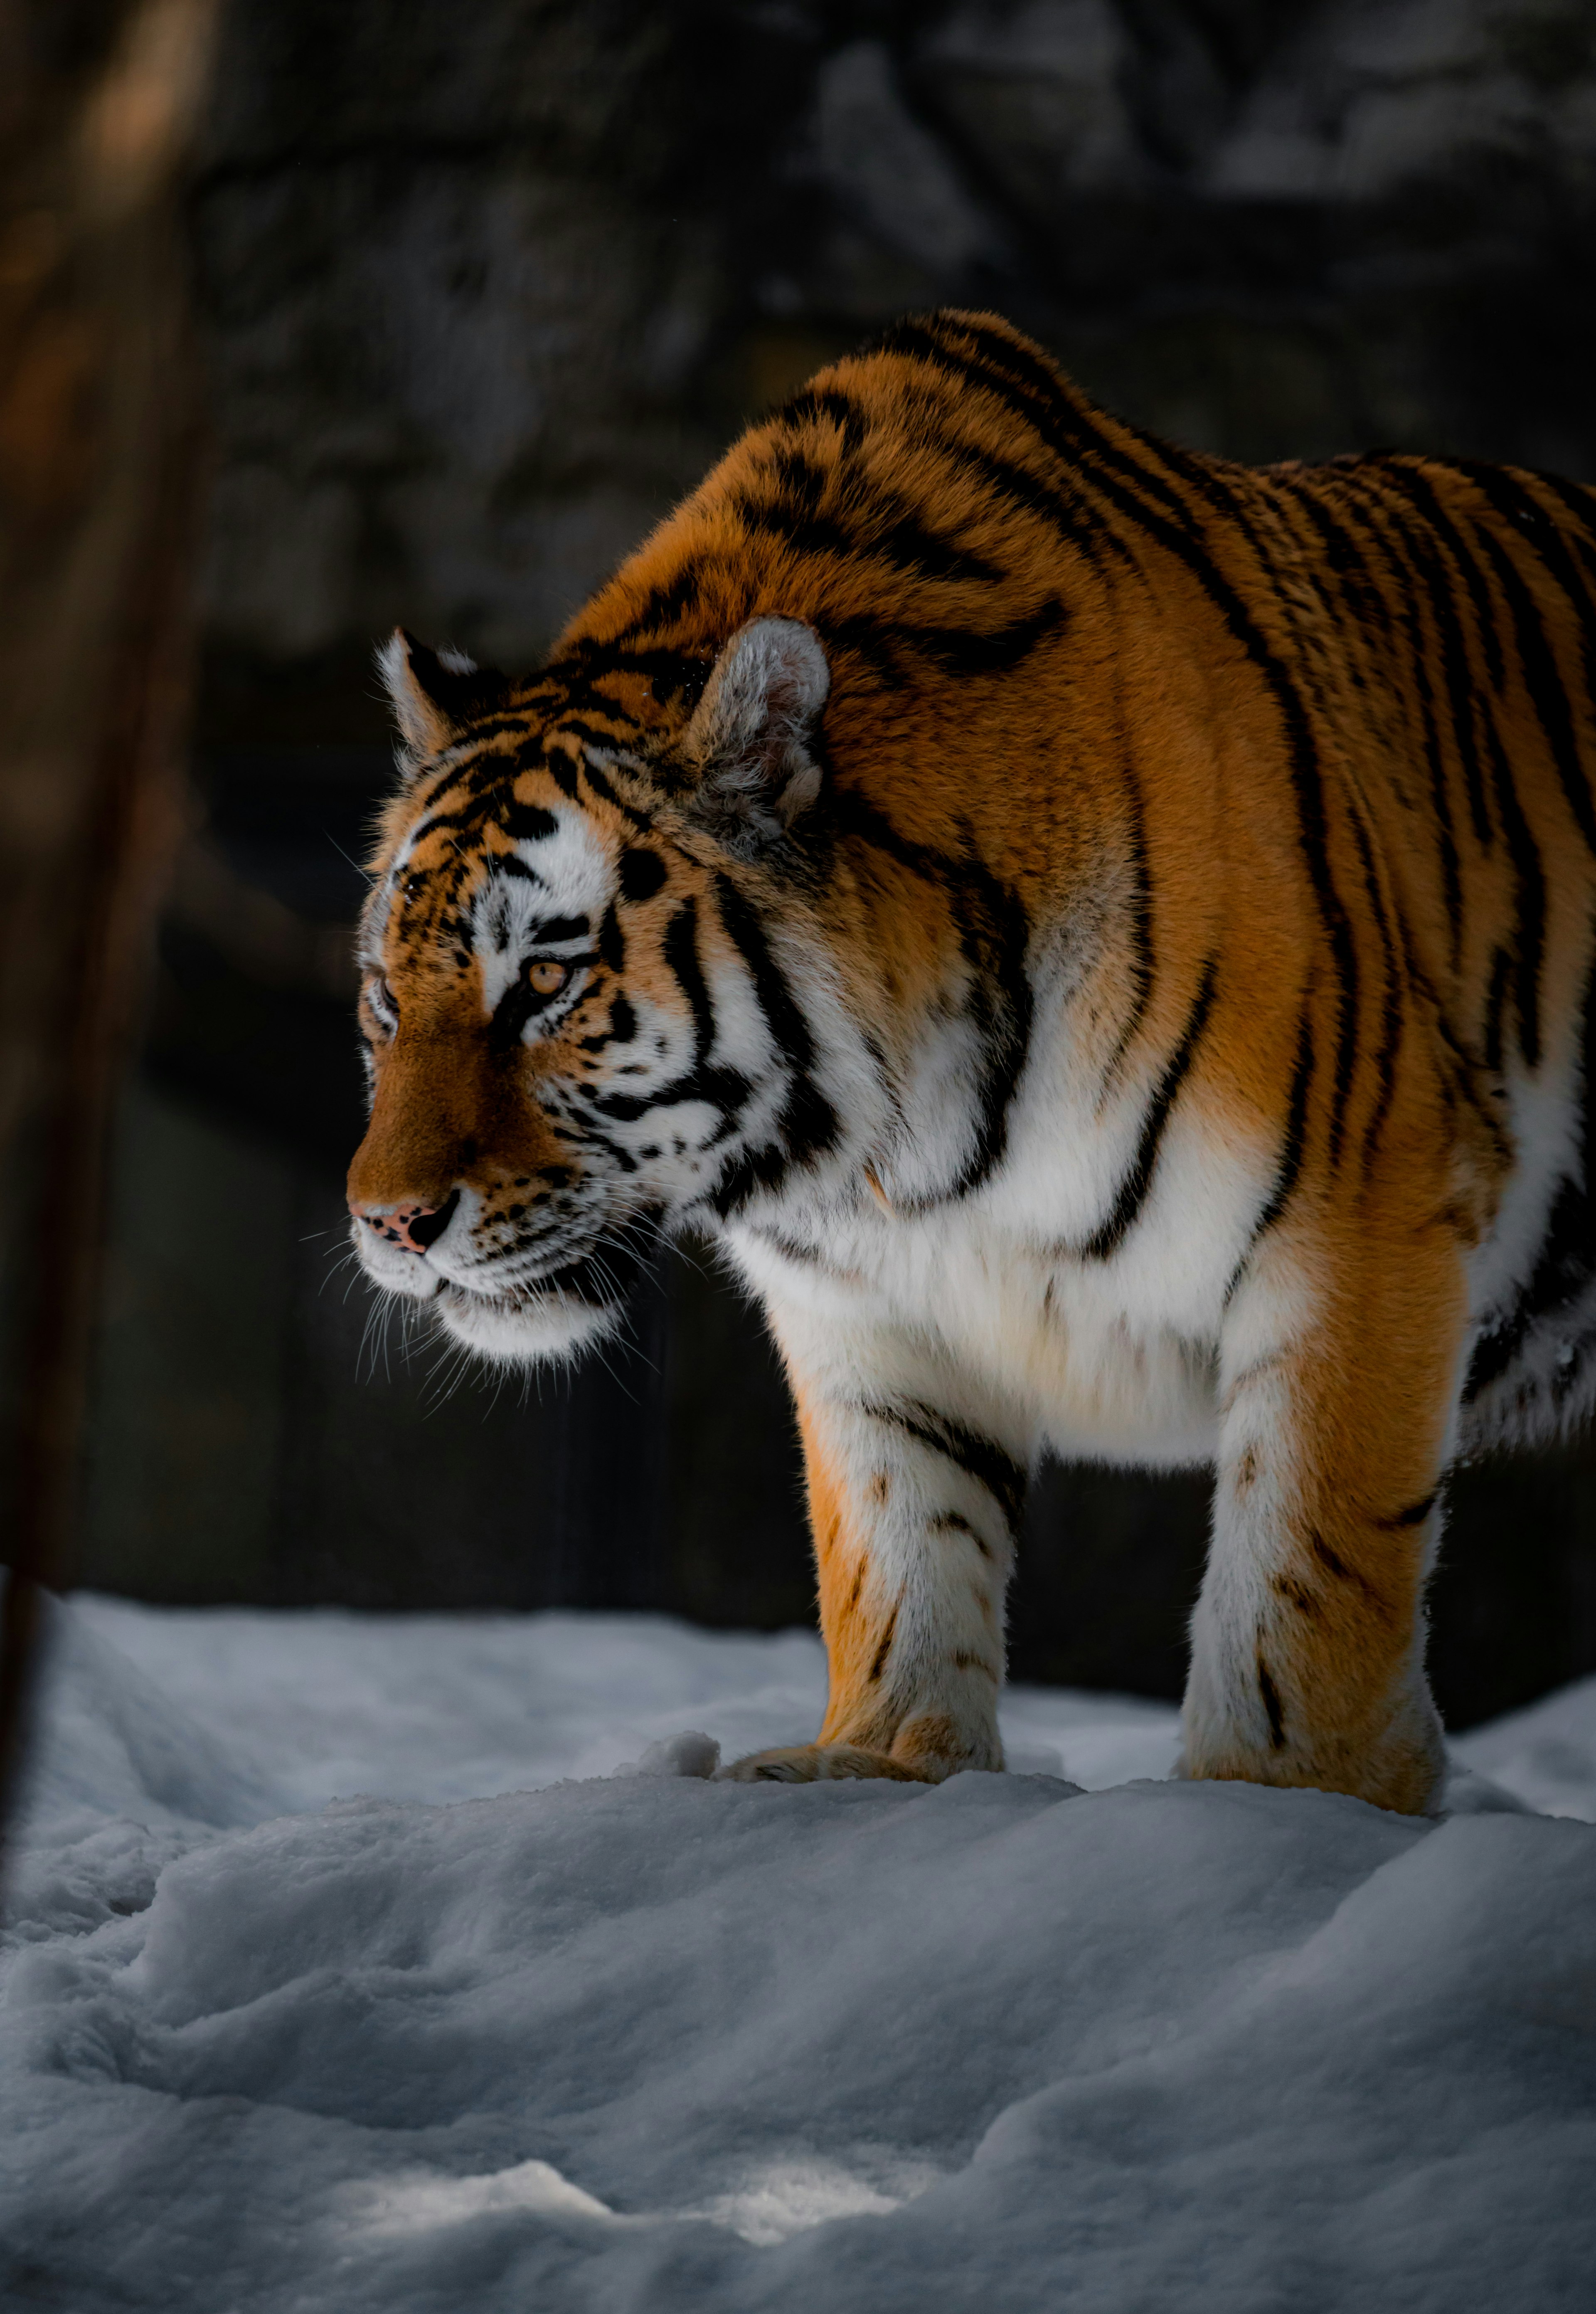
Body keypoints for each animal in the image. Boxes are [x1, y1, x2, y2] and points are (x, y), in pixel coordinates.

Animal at [347, 312, 1591, 1823]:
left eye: (544, 979)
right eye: (384, 994)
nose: (388, 1224)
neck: (896, 1145)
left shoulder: (1361, 1221)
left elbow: (1302, 1585)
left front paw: (1278, 1815)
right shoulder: (867, 1311)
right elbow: (900, 1543)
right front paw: (881, 1765)